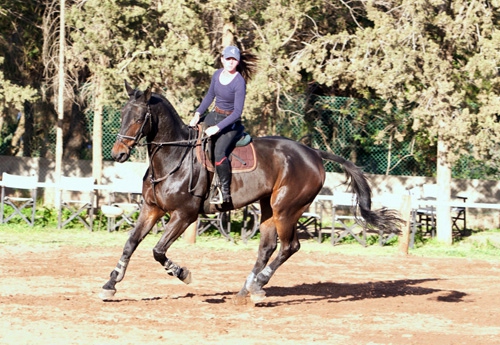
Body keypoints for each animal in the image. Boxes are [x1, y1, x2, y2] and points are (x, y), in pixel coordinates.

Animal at [99, 80, 400, 304]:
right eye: (122, 114)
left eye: (139, 118)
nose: (118, 154)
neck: (174, 157)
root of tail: (313, 152)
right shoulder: (152, 209)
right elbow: (131, 243)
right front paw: (110, 284)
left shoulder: (184, 214)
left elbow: (158, 250)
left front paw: (182, 272)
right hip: (268, 207)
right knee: (267, 247)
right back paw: (247, 289)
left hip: (286, 209)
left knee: (289, 246)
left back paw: (259, 285)